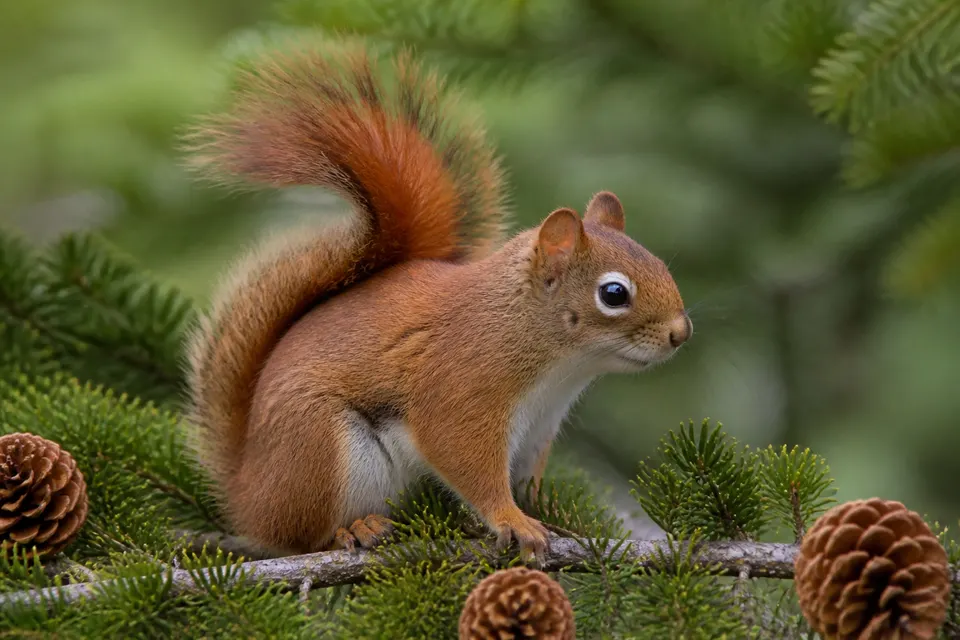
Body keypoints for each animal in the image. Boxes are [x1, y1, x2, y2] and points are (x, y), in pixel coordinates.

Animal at [183, 43, 692, 562]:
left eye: (661, 265)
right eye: (614, 294)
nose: (681, 333)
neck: (553, 362)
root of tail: (246, 495)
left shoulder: (538, 429)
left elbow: (528, 483)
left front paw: (554, 516)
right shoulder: (461, 387)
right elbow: (464, 459)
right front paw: (513, 521)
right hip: (321, 449)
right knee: (300, 539)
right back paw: (353, 531)